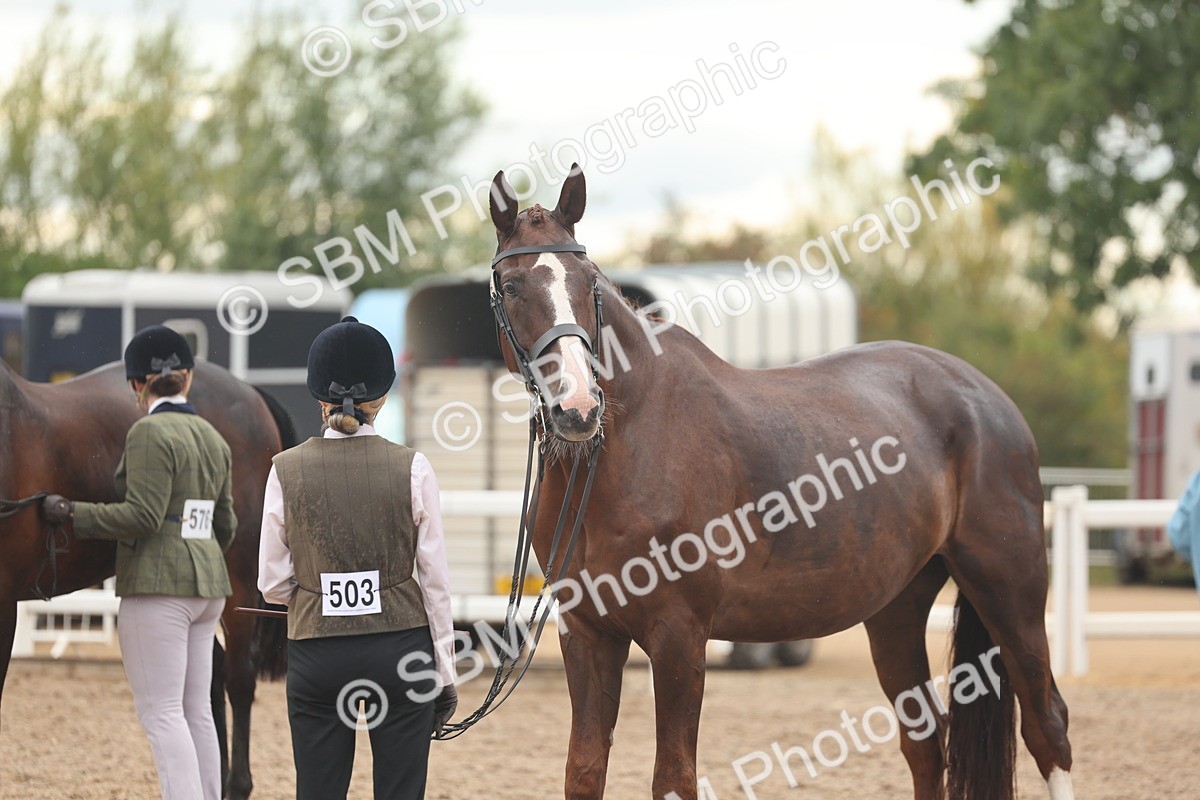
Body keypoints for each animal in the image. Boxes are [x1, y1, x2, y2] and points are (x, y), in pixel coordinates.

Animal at [485, 166, 1075, 800]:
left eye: (589, 281)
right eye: (512, 287)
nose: (578, 407)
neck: (626, 448)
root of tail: (986, 398)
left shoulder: (679, 636)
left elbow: (674, 777)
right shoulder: (588, 634)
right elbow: (584, 769)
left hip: (1011, 592)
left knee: (1047, 726)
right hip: (897, 609)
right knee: (924, 740)